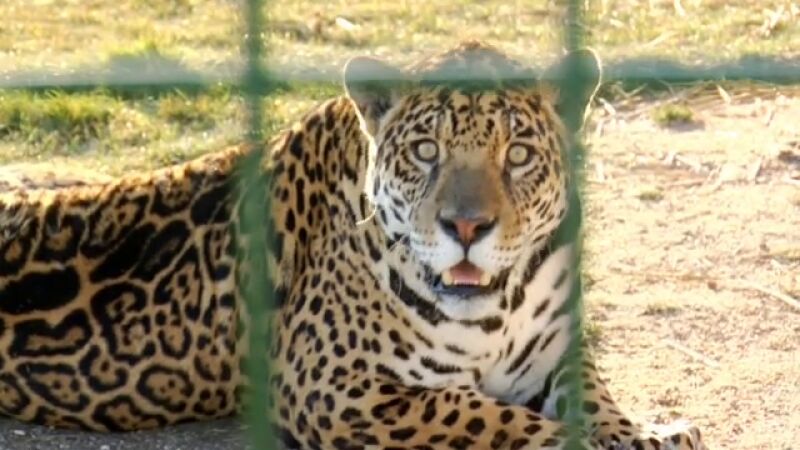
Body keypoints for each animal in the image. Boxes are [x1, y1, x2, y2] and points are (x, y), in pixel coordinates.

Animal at [0, 41, 706, 449]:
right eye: (426, 152)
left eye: (519, 155)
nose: (467, 228)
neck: (499, 308)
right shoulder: (334, 385)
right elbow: (485, 415)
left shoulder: (557, 347)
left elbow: (594, 397)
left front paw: (646, 433)